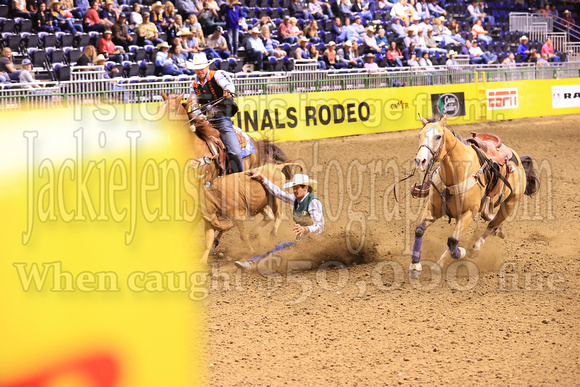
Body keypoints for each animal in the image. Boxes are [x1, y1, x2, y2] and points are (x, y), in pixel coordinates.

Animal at [404, 114, 540, 278]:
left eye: (438, 136)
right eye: (419, 135)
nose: (420, 161)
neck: (456, 173)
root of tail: (518, 159)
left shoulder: (468, 213)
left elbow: (453, 241)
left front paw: (457, 255)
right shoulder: (433, 208)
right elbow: (419, 230)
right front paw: (415, 266)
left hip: (509, 205)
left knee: (492, 225)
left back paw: (474, 248)